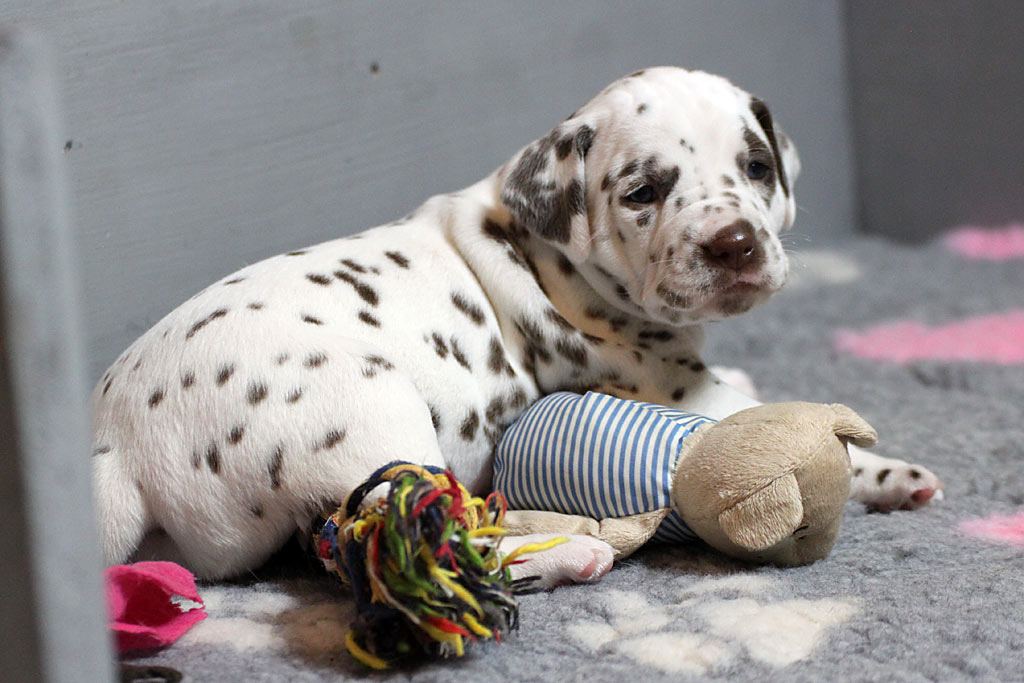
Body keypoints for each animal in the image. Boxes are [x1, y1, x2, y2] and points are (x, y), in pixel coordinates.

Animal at [91, 67, 941, 582]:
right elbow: (780, 428)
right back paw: (575, 550)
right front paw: (889, 472)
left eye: (757, 167)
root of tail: (118, 447)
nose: (733, 244)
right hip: (375, 419)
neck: (544, 251)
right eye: (643, 191)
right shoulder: (674, 394)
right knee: (434, 545)